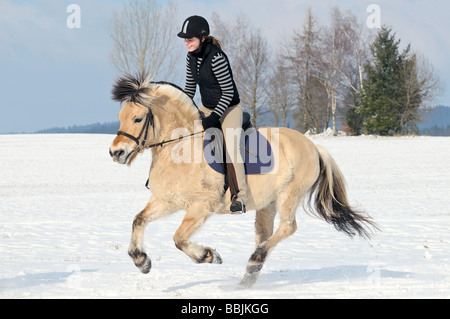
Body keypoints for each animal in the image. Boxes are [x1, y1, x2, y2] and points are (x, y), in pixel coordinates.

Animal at [110, 74, 380, 288]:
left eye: (138, 119)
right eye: (121, 116)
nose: (116, 153)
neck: (181, 147)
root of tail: (313, 146)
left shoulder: (200, 206)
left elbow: (179, 239)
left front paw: (209, 256)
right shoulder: (167, 201)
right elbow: (138, 220)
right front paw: (142, 261)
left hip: (289, 195)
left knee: (287, 228)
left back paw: (253, 261)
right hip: (267, 205)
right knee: (266, 235)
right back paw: (249, 275)